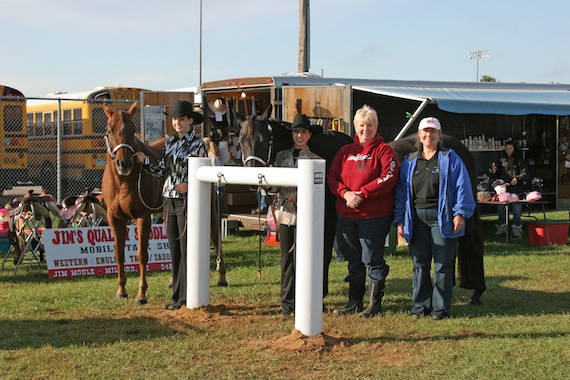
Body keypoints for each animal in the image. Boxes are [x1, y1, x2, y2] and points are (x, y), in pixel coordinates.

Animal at [101, 104, 163, 306]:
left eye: (132, 131)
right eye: (109, 130)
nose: (124, 163)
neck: (122, 182)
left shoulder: (143, 217)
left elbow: (141, 254)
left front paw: (141, 294)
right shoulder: (115, 218)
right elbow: (119, 253)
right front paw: (121, 290)